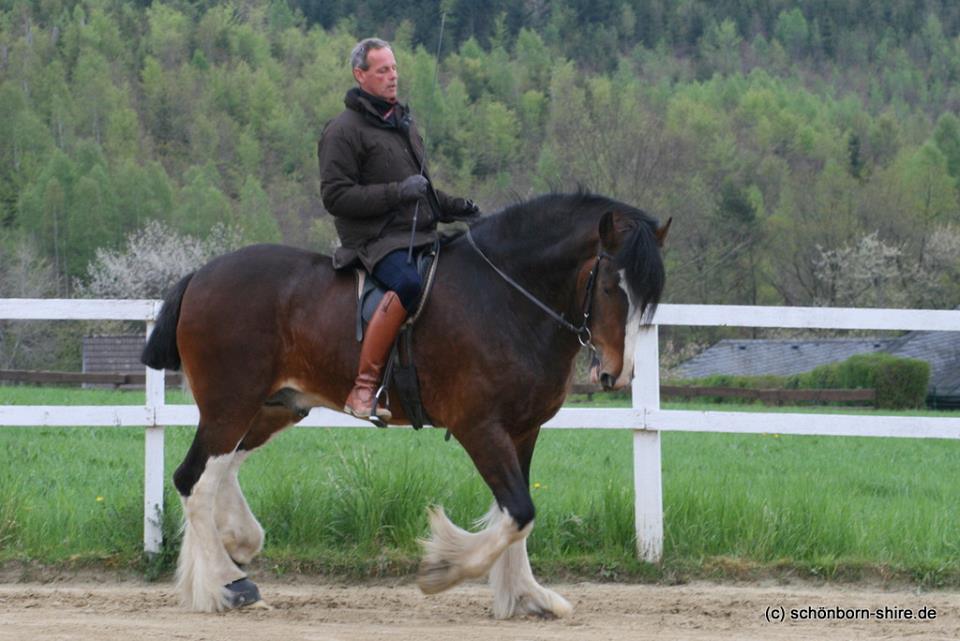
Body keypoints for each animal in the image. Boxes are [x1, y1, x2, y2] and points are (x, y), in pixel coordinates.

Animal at [144, 189, 668, 616]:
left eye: (650, 296)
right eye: (609, 285)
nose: (617, 374)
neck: (505, 297)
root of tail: (200, 275)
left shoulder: (522, 430)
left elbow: (516, 515)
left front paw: (526, 595)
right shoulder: (479, 427)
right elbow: (519, 511)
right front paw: (445, 568)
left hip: (273, 406)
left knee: (219, 469)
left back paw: (232, 551)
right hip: (231, 403)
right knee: (195, 480)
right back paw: (226, 587)